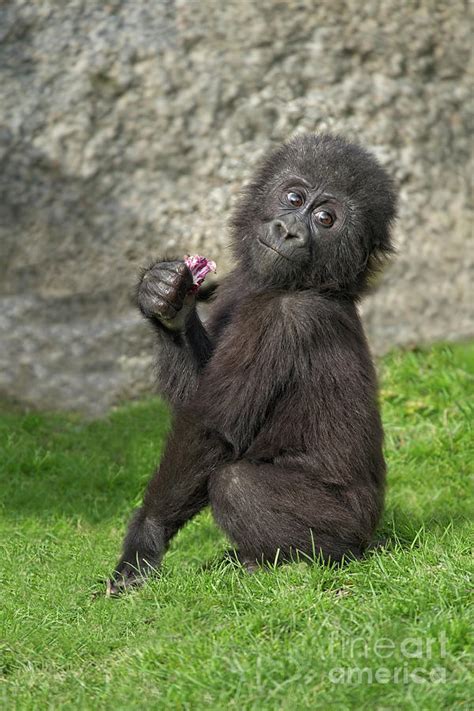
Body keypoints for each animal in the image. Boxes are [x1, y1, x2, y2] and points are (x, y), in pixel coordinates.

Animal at [106, 134, 396, 596]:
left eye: (326, 219)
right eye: (293, 198)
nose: (289, 230)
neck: (313, 283)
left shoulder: (285, 319)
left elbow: (212, 431)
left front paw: (144, 539)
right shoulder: (241, 282)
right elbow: (197, 398)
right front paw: (167, 301)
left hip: (353, 526)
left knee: (236, 485)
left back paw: (299, 561)